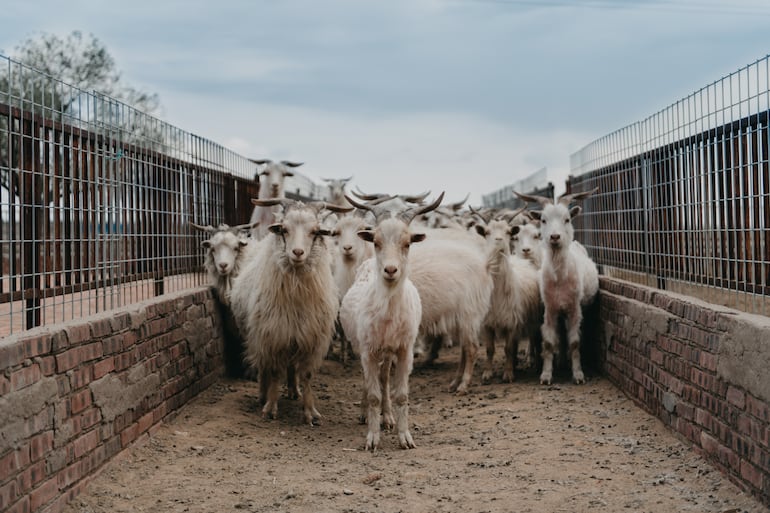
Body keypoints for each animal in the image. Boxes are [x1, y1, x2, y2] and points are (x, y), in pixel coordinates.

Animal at [231, 198, 352, 422]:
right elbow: (274, 371)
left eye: (314, 231)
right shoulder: (273, 336)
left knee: (291, 366)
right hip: (258, 335)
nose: (297, 253)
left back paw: (294, 391)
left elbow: (306, 375)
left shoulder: (310, 338)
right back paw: (263, 394)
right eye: (284, 230)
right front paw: (270, 407)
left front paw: (310, 411)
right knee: (264, 367)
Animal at [338, 191, 440, 448]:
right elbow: (373, 393)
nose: (391, 270)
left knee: (383, 378)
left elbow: (401, 394)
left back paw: (388, 417)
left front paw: (405, 437)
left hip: (388, 352)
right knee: (369, 378)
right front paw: (372, 438)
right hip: (364, 347)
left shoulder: (404, 349)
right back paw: (365, 414)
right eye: (376, 242)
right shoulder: (368, 349)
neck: (389, 317)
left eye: (407, 243)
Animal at [474, 217, 540, 384]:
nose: (498, 240)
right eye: (487, 232)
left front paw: (508, 374)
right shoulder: (488, 324)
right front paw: (487, 373)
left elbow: (508, 348)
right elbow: (490, 349)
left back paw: (533, 361)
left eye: (508, 232)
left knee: (533, 339)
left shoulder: (512, 323)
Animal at [516, 188, 600, 384]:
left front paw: (578, 375)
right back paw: (560, 362)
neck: (560, 279)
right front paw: (546, 375)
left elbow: (574, 342)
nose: (555, 237)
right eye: (543, 220)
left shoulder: (574, 309)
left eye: (567, 219)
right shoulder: (550, 309)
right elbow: (548, 343)